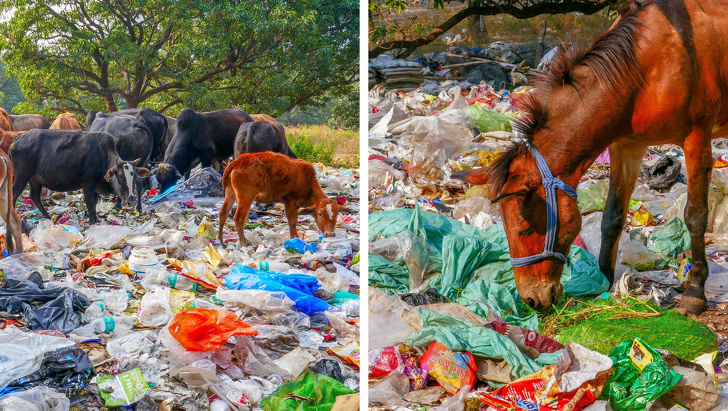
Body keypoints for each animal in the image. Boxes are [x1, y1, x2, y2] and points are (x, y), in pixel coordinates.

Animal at [10, 130, 152, 224]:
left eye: (134, 178)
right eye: (121, 177)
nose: (131, 201)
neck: (103, 156)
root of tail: (18, 138)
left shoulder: (96, 187)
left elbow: (94, 202)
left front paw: (96, 218)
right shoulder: (88, 183)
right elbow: (89, 202)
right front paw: (92, 222)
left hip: (35, 180)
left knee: (34, 196)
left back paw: (48, 218)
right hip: (22, 176)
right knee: (14, 193)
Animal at [216, 152, 344, 246]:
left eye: (336, 214)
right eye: (320, 214)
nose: (330, 234)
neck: (308, 184)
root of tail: (237, 161)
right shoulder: (290, 201)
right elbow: (292, 222)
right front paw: (294, 239)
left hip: (230, 193)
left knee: (223, 213)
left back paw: (221, 240)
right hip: (246, 197)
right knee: (239, 218)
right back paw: (243, 242)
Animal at [456, 0, 728, 316]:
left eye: (525, 229)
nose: (532, 300)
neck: (647, 69)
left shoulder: (697, 139)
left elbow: (695, 216)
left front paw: (695, 291)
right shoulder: (627, 145)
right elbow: (612, 217)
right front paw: (603, 280)